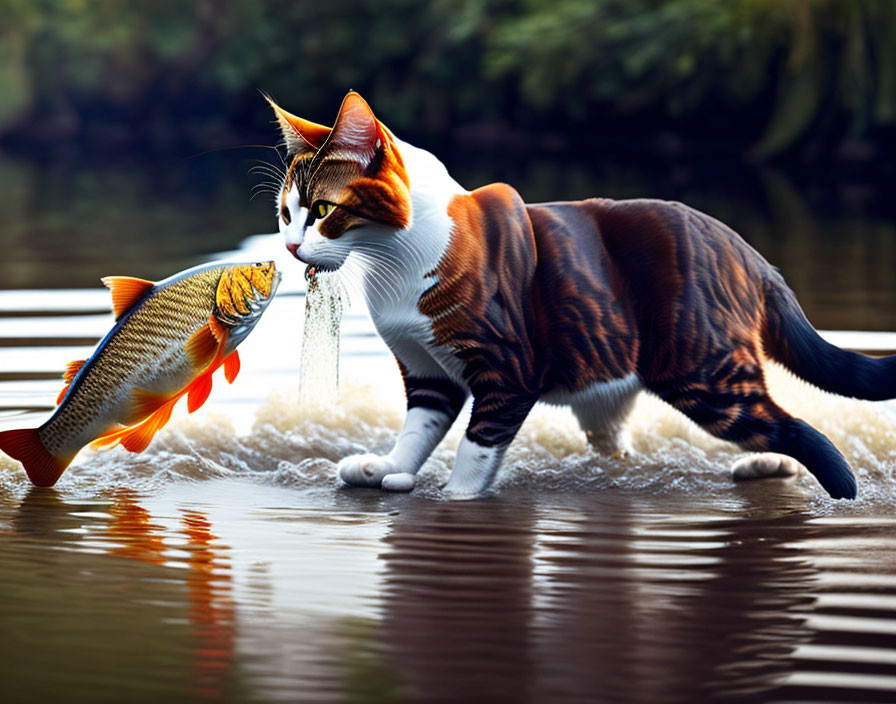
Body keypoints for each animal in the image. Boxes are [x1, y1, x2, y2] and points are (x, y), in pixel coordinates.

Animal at [266, 92, 888, 500]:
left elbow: (475, 446)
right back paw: (763, 468)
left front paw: (455, 496)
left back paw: (840, 490)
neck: (393, 266)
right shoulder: (426, 371)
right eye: (285, 214)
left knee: (798, 428)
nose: (292, 247)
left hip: (703, 370)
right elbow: (418, 428)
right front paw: (389, 467)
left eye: (323, 210)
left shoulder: (508, 369)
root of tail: (747, 251)